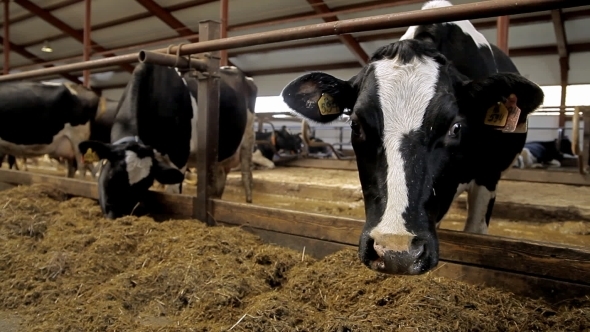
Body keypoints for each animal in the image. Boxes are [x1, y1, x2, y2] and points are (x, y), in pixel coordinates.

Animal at [77, 64, 256, 220]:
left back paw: (248, 201)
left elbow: (173, 194)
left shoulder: (179, 156)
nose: (116, 214)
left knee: (246, 172)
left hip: (248, 137)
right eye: (112, 176)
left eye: (142, 186)